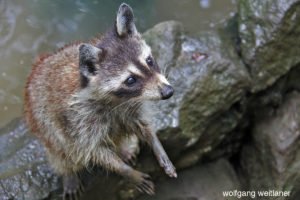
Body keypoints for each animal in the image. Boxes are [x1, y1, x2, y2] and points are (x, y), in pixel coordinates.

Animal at [25, 2, 176, 199]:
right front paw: (127, 172)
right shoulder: (78, 122)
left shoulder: (133, 107)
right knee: (59, 151)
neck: (118, 100)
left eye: (149, 61)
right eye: (130, 80)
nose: (168, 91)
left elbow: (144, 126)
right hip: (42, 123)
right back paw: (68, 172)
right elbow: (95, 152)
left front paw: (157, 146)